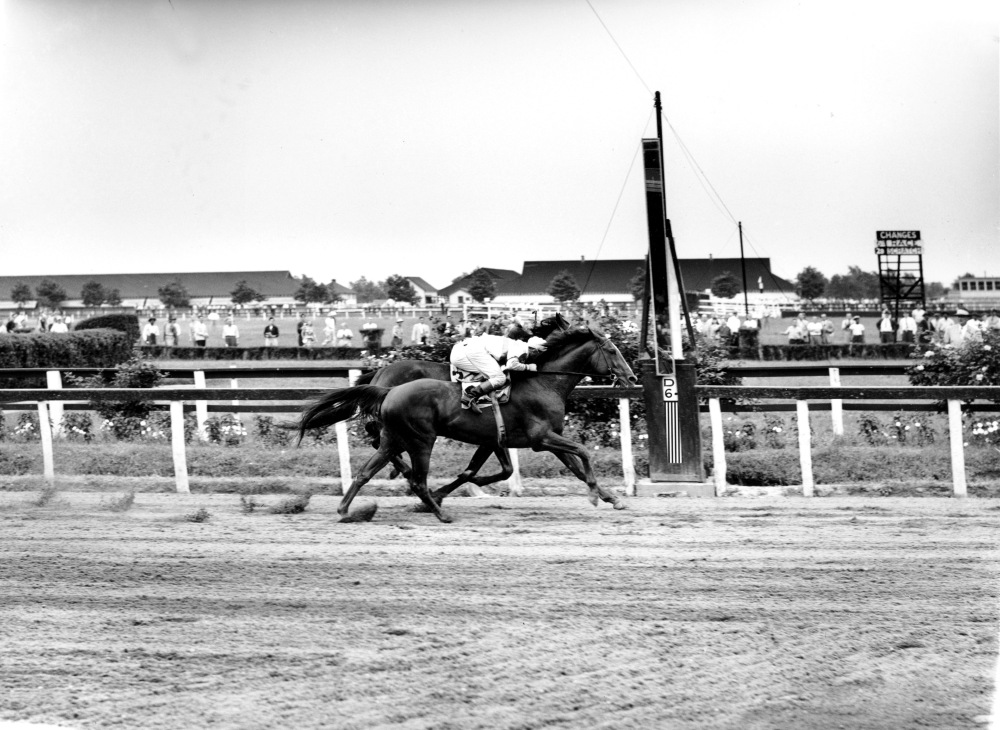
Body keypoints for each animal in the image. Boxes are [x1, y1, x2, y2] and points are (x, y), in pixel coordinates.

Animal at [300, 326, 636, 524]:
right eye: (612, 351)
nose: (631, 377)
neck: (544, 382)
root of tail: (387, 388)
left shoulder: (509, 439)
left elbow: (567, 466)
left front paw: (611, 497)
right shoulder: (541, 438)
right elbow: (583, 452)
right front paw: (596, 495)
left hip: (394, 437)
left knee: (366, 470)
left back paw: (347, 510)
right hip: (421, 440)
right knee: (415, 476)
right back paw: (436, 509)